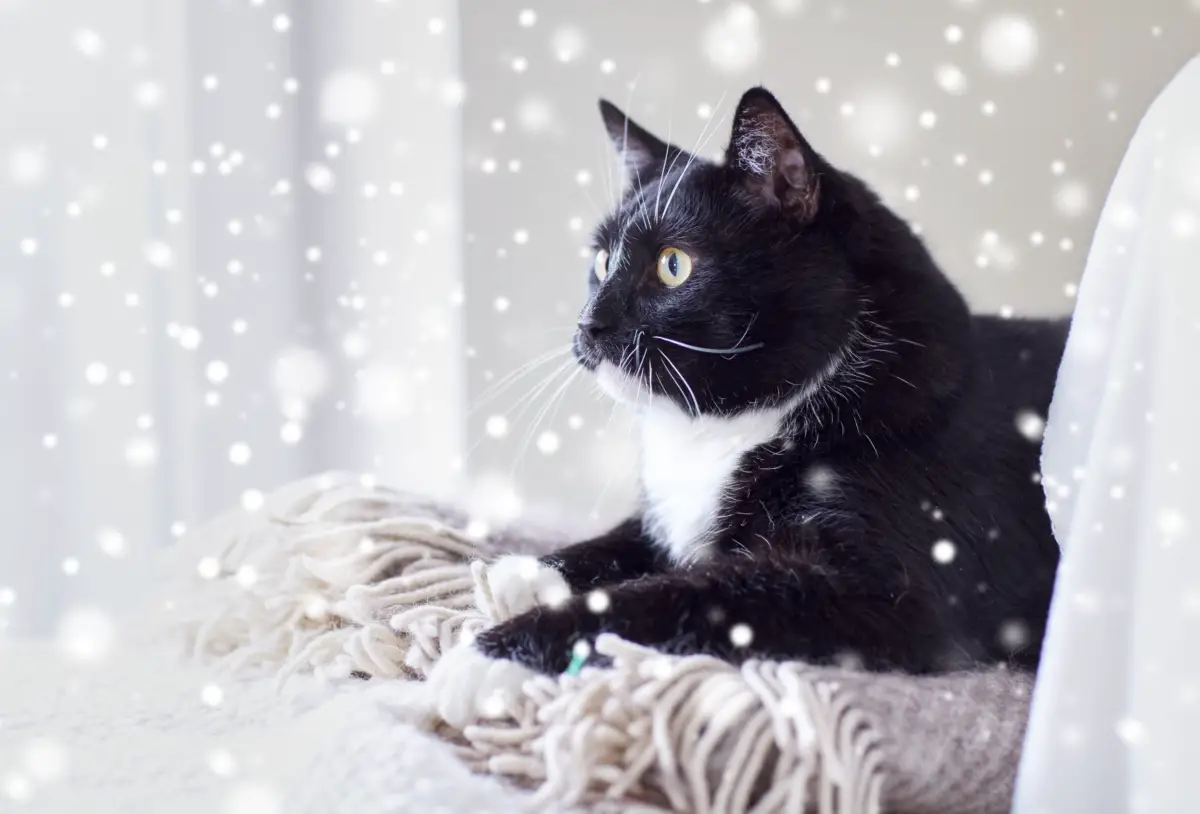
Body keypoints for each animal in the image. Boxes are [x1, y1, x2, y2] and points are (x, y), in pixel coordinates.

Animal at [463, 89, 1065, 686]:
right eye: (603, 260)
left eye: (673, 265)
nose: (588, 324)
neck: (726, 428)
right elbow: (630, 538)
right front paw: (524, 574)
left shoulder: (887, 590)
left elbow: (684, 595)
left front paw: (495, 652)